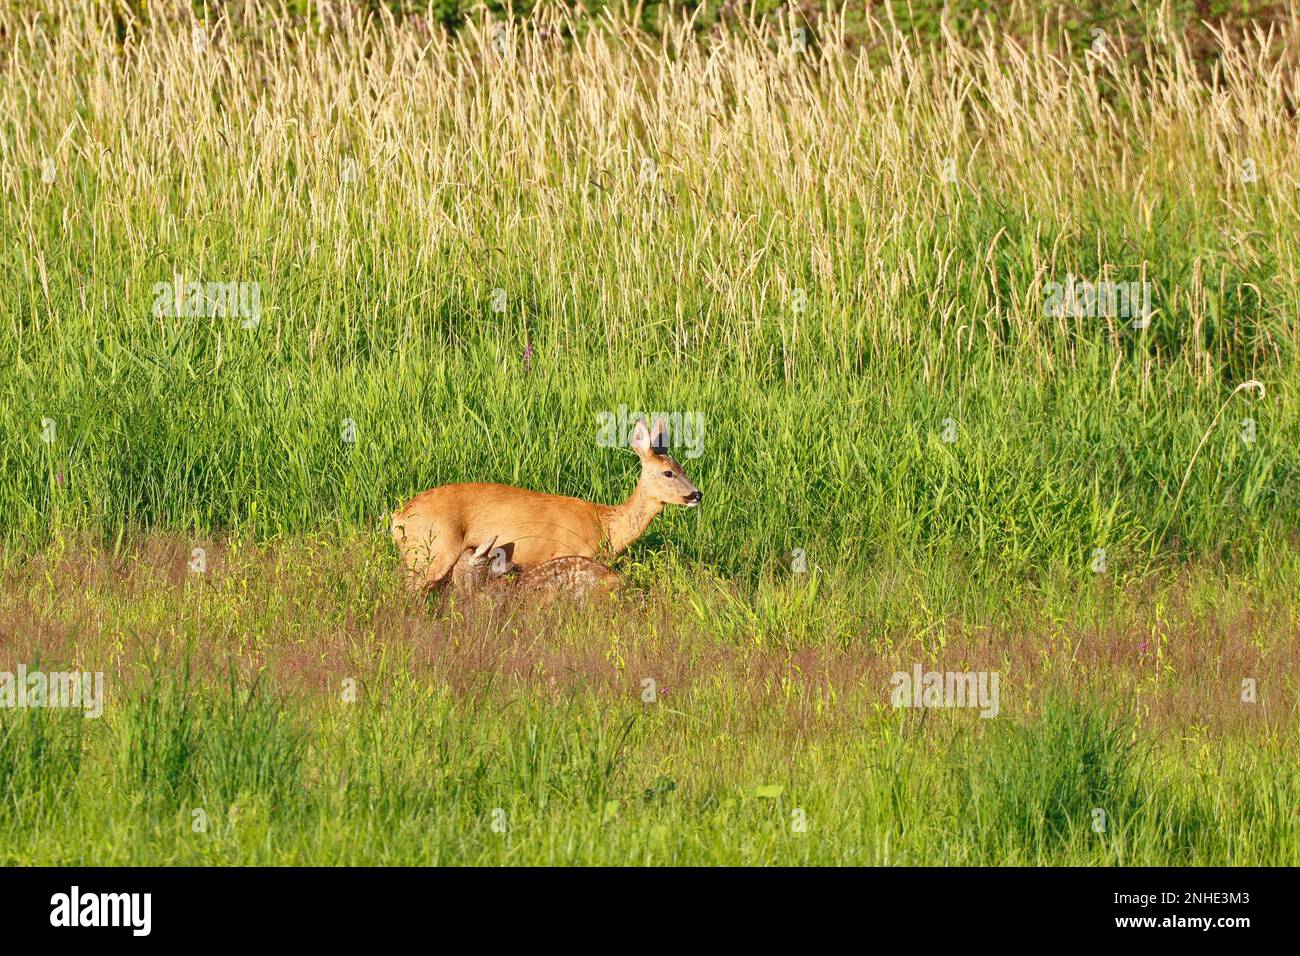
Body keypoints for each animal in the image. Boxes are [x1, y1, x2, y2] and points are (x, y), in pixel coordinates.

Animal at [390, 418, 702, 590]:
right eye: (668, 472)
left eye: (682, 467)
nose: (696, 494)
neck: (608, 526)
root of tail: (398, 518)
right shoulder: (570, 553)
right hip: (429, 551)